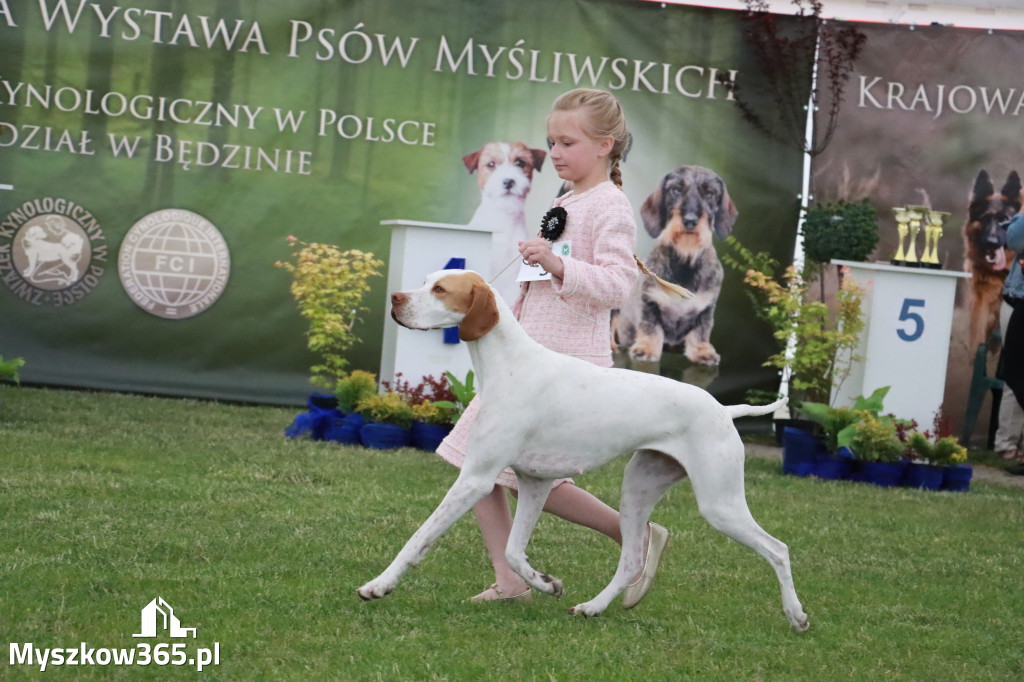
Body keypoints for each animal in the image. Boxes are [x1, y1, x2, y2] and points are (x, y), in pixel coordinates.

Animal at [360, 268, 806, 630]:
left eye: (439, 288)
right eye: (424, 281)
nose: (395, 298)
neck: (510, 365)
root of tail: (724, 409)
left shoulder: (476, 478)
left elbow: (418, 539)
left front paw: (378, 585)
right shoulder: (534, 483)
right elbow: (513, 551)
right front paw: (546, 583)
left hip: (719, 504)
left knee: (779, 549)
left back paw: (796, 615)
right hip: (638, 488)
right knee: (632, 559)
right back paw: (593, 607)